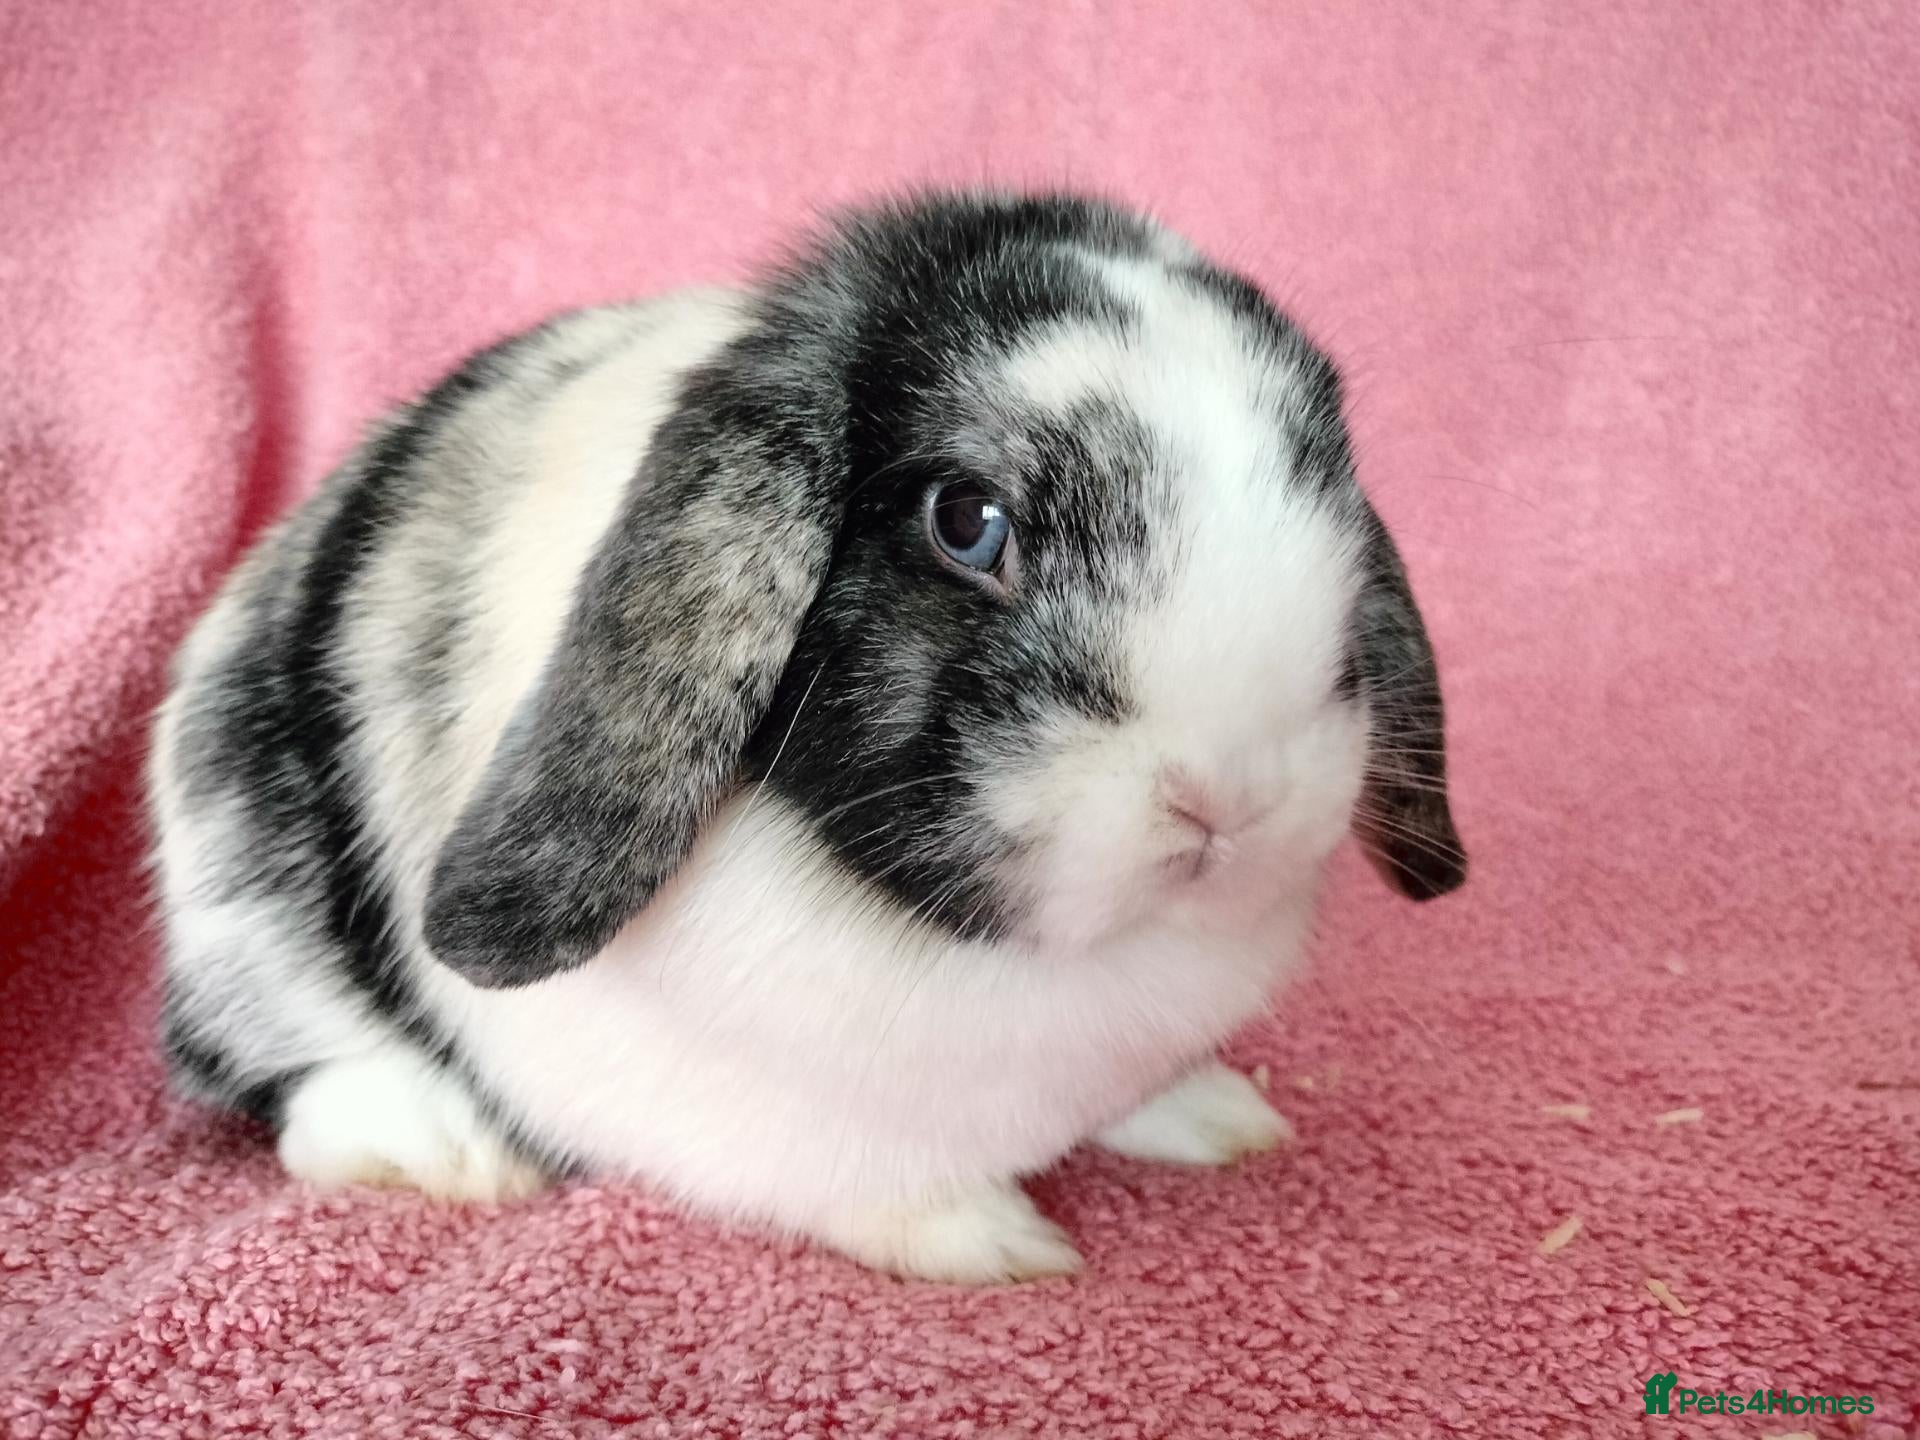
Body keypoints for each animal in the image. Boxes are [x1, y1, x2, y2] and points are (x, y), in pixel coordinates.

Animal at [147, 191, 1466, 1283]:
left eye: (1333, 499)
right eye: (967, 521)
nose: (1226, 798)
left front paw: (1221, 1119)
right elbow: (877, 1187)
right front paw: (997, 1246)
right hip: (243, 908)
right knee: (280, 1074)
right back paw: (448, 1152)